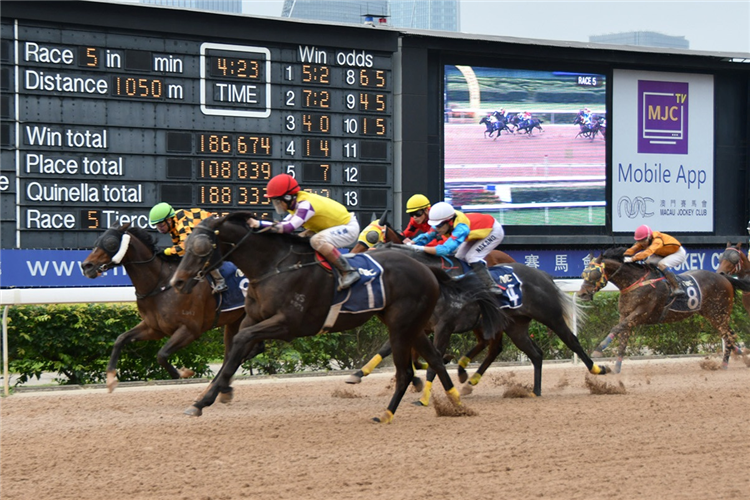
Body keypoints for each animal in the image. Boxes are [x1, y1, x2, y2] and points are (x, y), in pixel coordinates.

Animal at [82, 225, 247, 392]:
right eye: (98, 240)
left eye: (111, 243)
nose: (86, 266)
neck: (160, 283)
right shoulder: (154, 328)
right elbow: (120, 339)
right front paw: (110, 378)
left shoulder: (190, 330)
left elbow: (161, 355)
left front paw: (183, 372)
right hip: (234, 320)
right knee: (230, 354)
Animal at [170, 213, 512, 424]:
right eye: (185, 244)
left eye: (202, 247)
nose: (177, 282)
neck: (273, 266)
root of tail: (428, 270)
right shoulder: (252, 320)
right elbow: (234, 351)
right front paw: (207, 398)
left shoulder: (288, 324)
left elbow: (240, 343)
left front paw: (207, 398)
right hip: (414, 325)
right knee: (437, 360)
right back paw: (457, 404)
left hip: (402, 325)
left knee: (405, 371)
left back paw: (387, 413)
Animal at [346, 242, 612, 402]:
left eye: (372, 253)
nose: (354, 271)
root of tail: (542, 274)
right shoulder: (418, 325)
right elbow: (401, 352)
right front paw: (359, 374)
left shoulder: (443, 327)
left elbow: (431, 361)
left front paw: (425, 393)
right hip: (515, 326)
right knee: (534, 353)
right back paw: (533, 391)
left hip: (550, 316)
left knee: (571, 340)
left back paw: (598, 369)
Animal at [576, 246, 750, 372]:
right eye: (583, 273)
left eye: (593, 274)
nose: (582, 294)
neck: (636, 282)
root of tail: (723, 277)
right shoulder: (626, 315)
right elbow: (623, 339)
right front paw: (617, 369)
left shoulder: (640, 313)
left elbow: (616, 328)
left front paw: (598, 350)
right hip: (712, 315)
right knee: (730, 335)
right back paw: (738, 356)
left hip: (718, 313)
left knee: (728, 336)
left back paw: (725, 365)